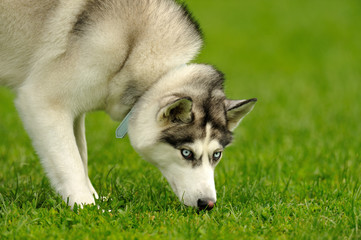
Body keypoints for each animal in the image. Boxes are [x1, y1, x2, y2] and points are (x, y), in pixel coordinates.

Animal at [0, 0, 255, 210]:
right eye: (186, 152)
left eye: (217, 155)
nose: (208, 204)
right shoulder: (42, 101)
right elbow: (70, 164)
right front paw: (87, 208)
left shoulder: (74, 110)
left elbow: (80, 156)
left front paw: (93, 199)